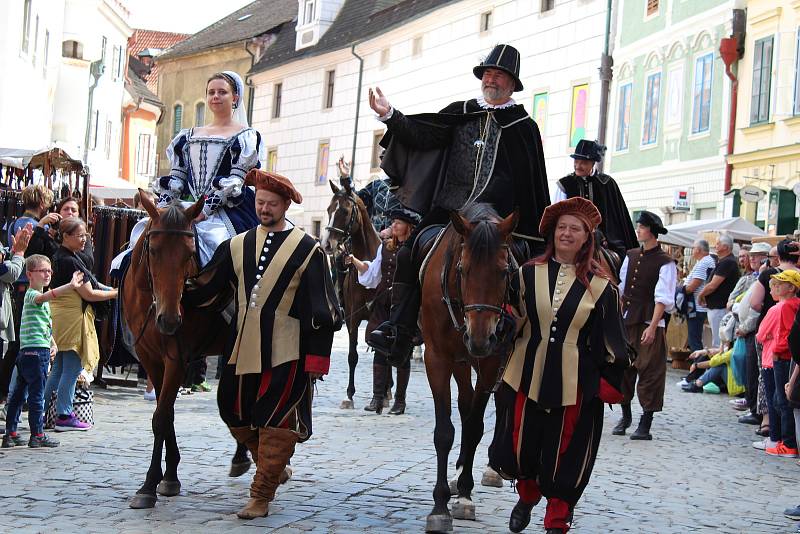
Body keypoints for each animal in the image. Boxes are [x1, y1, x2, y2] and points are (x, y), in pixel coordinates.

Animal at [122, 196, 230, 510]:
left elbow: (160, 417)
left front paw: (149, 485)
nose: (169, 321)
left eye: (190, 253)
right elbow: (164, 413)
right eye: (153, 250)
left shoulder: (176, 359)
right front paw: (168, 477)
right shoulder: (150, 359)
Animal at [318, 180, 382, 410]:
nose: (327, 244)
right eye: (329, 209)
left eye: (345, 211)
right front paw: (349, 395)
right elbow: (352, 356)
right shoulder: (353, 317)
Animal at [418, 203, 520, 532]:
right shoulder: (437, 358)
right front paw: (439, 507)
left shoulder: (491, 362)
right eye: (463, 270)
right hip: (459, 361)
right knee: (464, 402)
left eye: (504, 271)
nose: (479, 338)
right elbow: (444, 432)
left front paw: (464, 494)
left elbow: (475, 427)